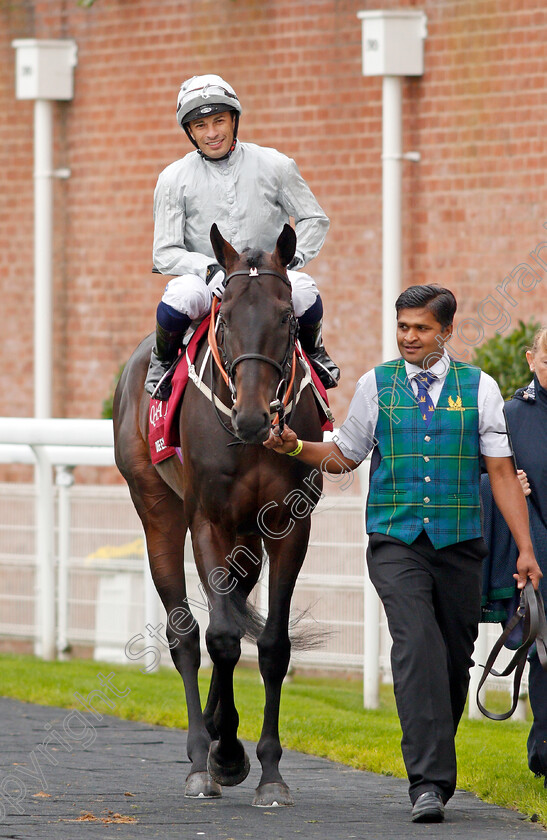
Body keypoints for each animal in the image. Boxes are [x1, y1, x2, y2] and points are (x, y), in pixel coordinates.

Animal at [112, 223, 326, 808]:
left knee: (225, 604)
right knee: (185, 633)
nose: (253, 418)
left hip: (246, 536)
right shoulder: (206, 519)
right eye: (225, 318)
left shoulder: (289, 525)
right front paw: (224, 754)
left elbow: (270, 645)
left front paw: (268, 771)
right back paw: (199, 753)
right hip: (159, 511)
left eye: (287, 317)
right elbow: (224, 638)